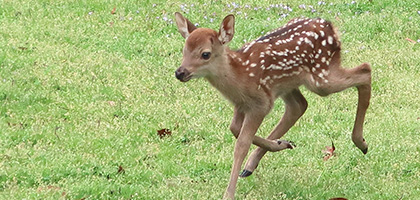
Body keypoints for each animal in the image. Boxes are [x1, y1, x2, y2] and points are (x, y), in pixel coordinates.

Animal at [173, 11, 370, 199]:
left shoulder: (261, 103)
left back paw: (361, 142)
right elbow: (234, 129)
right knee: (299, 106)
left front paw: (228, 194)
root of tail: (331, 27)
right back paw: (255, 163)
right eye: (184, 50)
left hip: (321, 76)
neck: (240, 76)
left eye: (205, 54)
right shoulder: (241, 104)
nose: (180, 72)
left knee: (365, 70)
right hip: (288, 84)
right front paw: (280, 143)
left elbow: (241, 144)